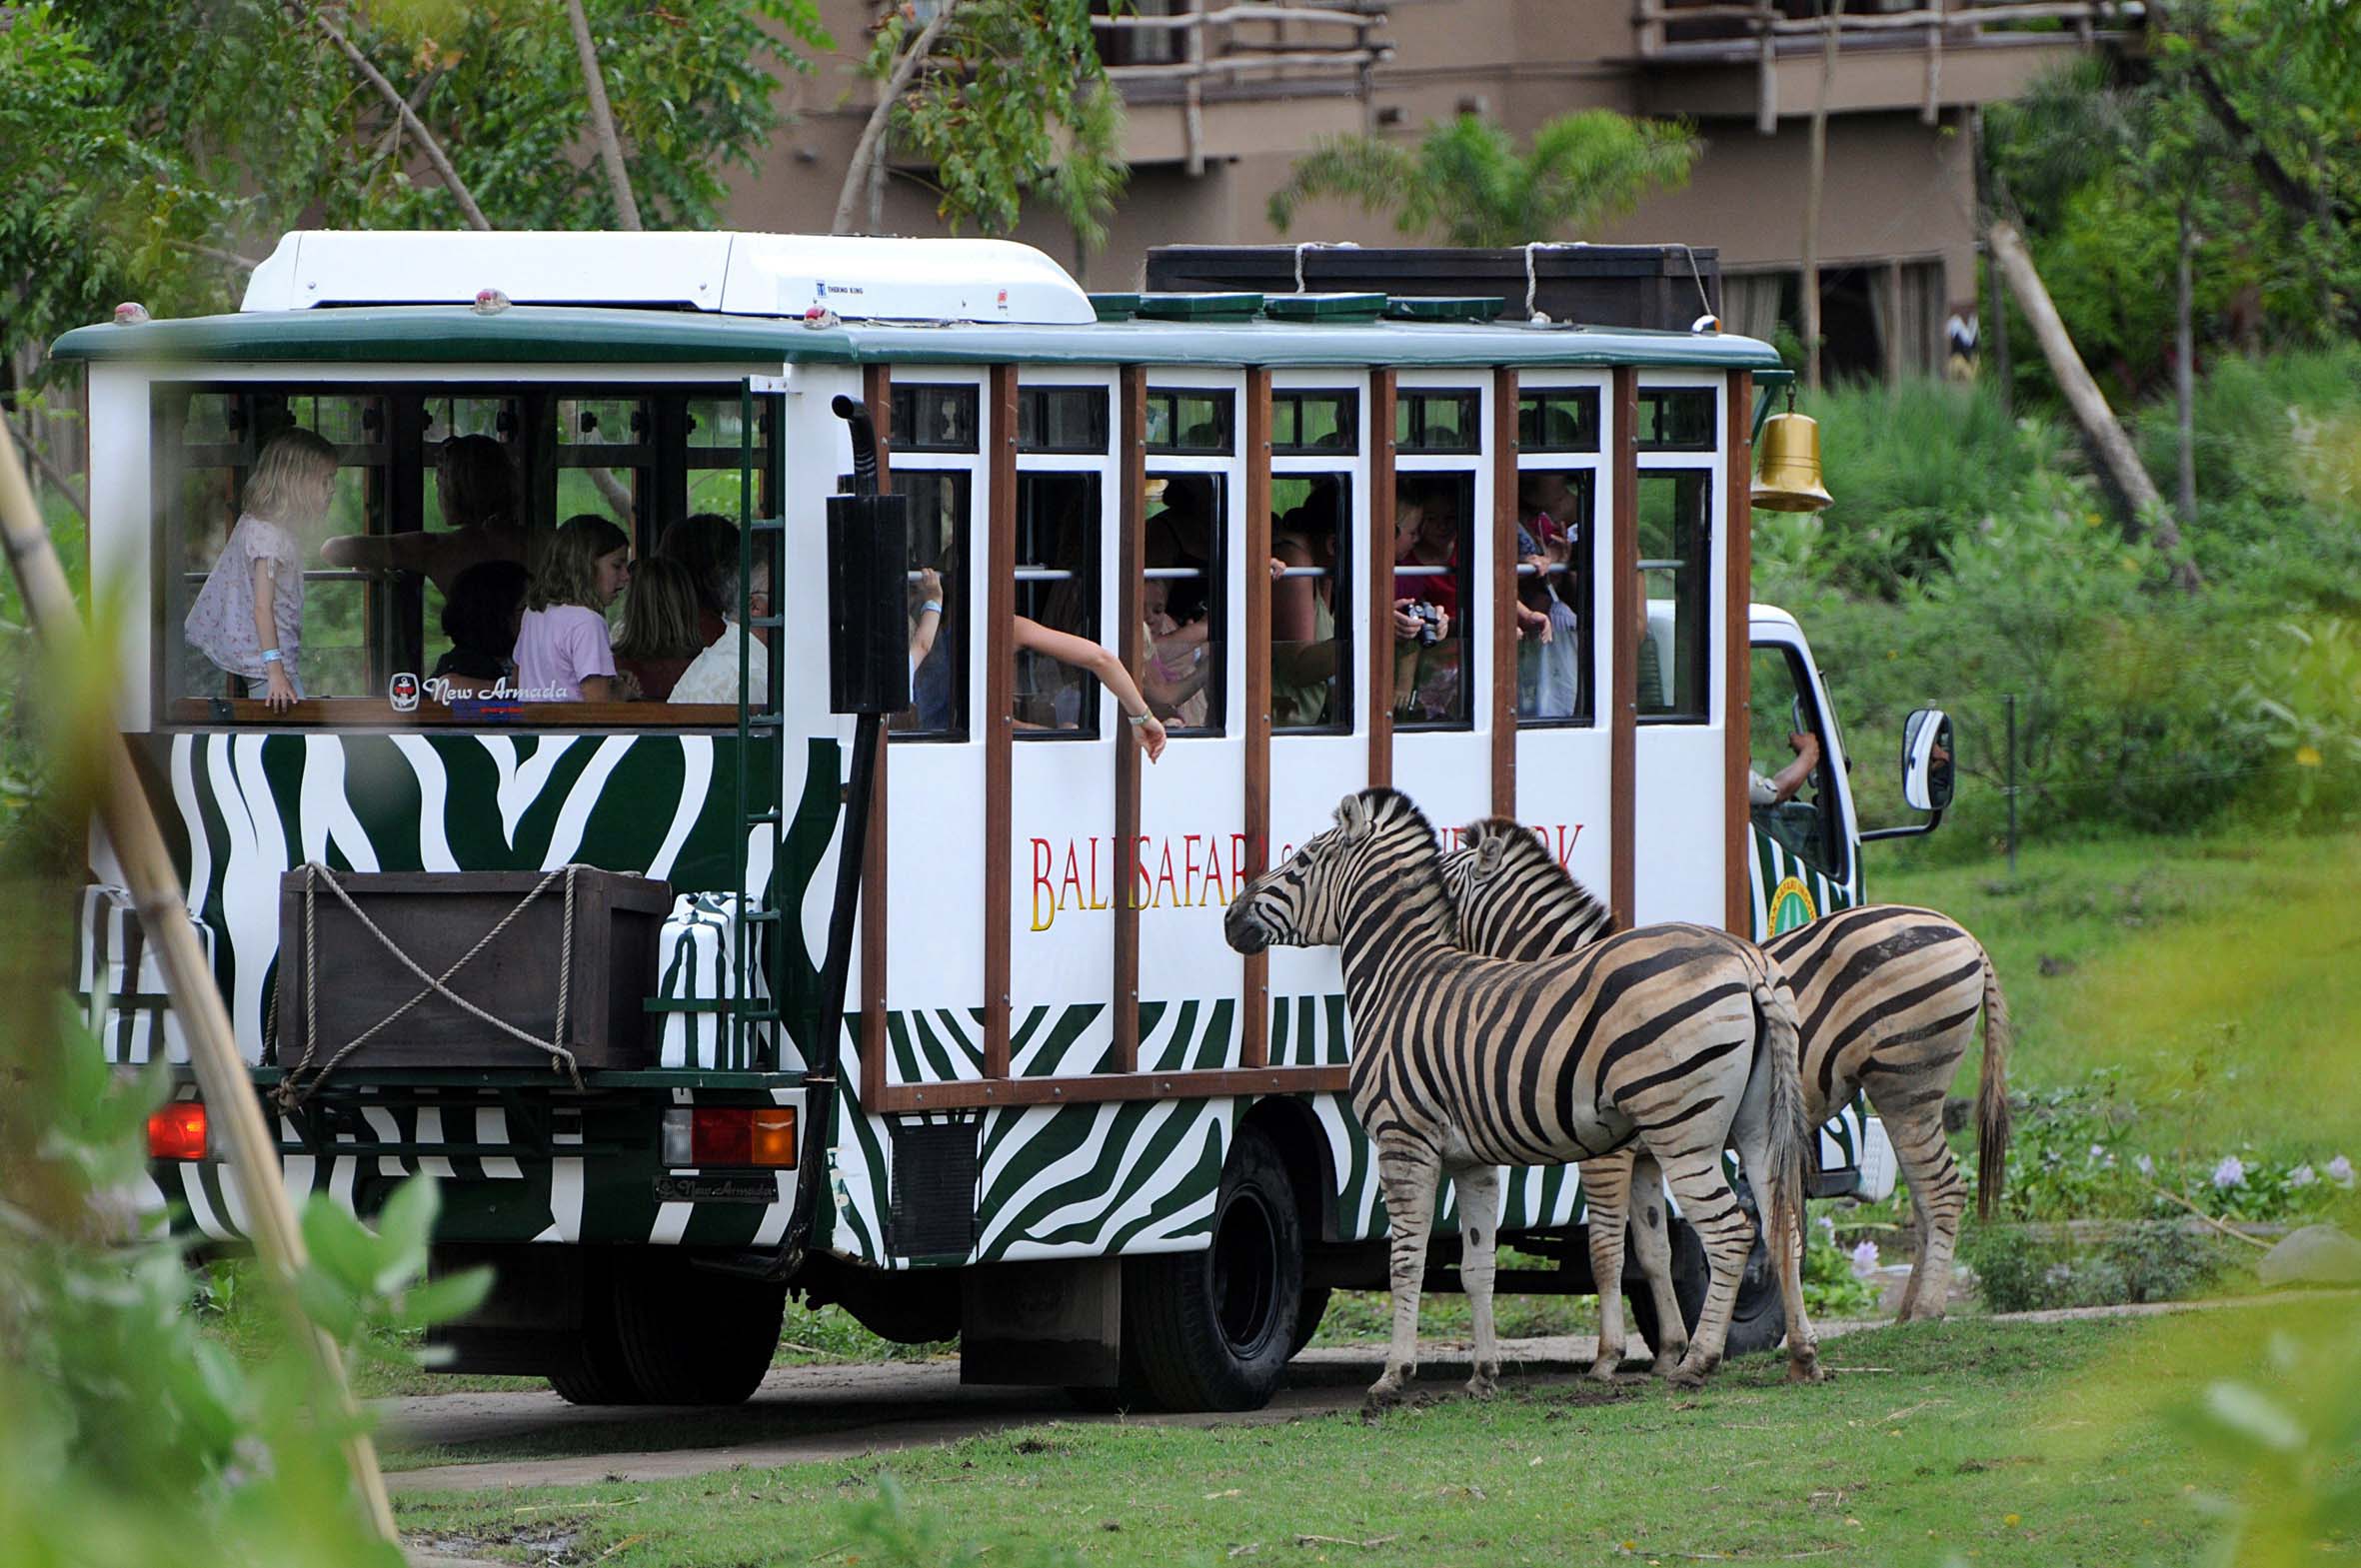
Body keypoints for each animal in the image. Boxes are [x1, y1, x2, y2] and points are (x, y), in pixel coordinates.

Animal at [1217, 788, 1822, 1397]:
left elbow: (1409, 1261)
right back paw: (1800, 1357)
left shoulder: (1405, 1141)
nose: (1230, 917)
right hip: (1754, 1127)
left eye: (1300, 862)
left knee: (1731, 1233)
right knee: (1781, 1224)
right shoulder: (1475, 1160)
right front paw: (1484, 1375)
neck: (1398, 976)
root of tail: (1746, 962)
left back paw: (1699, 1363)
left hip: (1682, 1130)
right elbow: (1481, 1266)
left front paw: (1394, 1377)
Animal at [1435, 821, 2011, 1369]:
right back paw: (1908, 1311)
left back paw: (1927, 1312)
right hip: (1901, 1094)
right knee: (1922, 1195)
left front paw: (1610, 1357)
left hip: (1908, 1082)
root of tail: (1965, 936)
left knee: (1942, 1191)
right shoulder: (1646, 1154)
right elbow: (1653, 1252)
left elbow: (1606, 1252)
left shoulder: (1607, 1155)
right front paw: (1669, 1351)